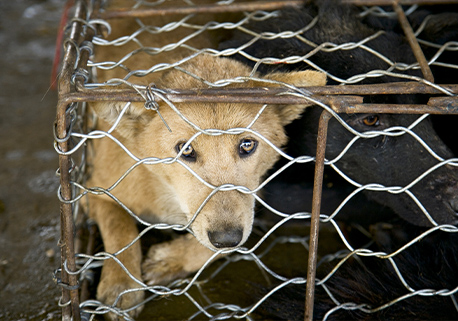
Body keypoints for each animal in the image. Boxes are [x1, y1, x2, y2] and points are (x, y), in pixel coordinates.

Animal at [85, 1, 326, 318]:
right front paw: (122, 284)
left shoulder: (253, 195)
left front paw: (171, 259)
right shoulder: (95, 190)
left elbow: (218, 241)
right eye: (185, 150)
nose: (227, 236)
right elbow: (119, 229)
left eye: (247, 145)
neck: (167, 194)